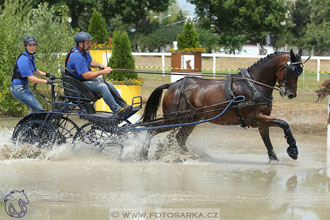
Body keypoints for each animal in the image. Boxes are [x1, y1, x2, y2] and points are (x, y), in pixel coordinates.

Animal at [141, 49, 302, 161]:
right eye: (292, 71)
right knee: (150, 130)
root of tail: (172, 85)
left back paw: (188, 155)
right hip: (174, 119)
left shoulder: (262, 120)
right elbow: (283, 123)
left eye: (299, 72)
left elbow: (267, 141)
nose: (292, 94)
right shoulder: (255, 118)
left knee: (179, 138)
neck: (254, 85)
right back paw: (142, 154)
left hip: (190, 120)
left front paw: (274, 160)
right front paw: (293, 149)